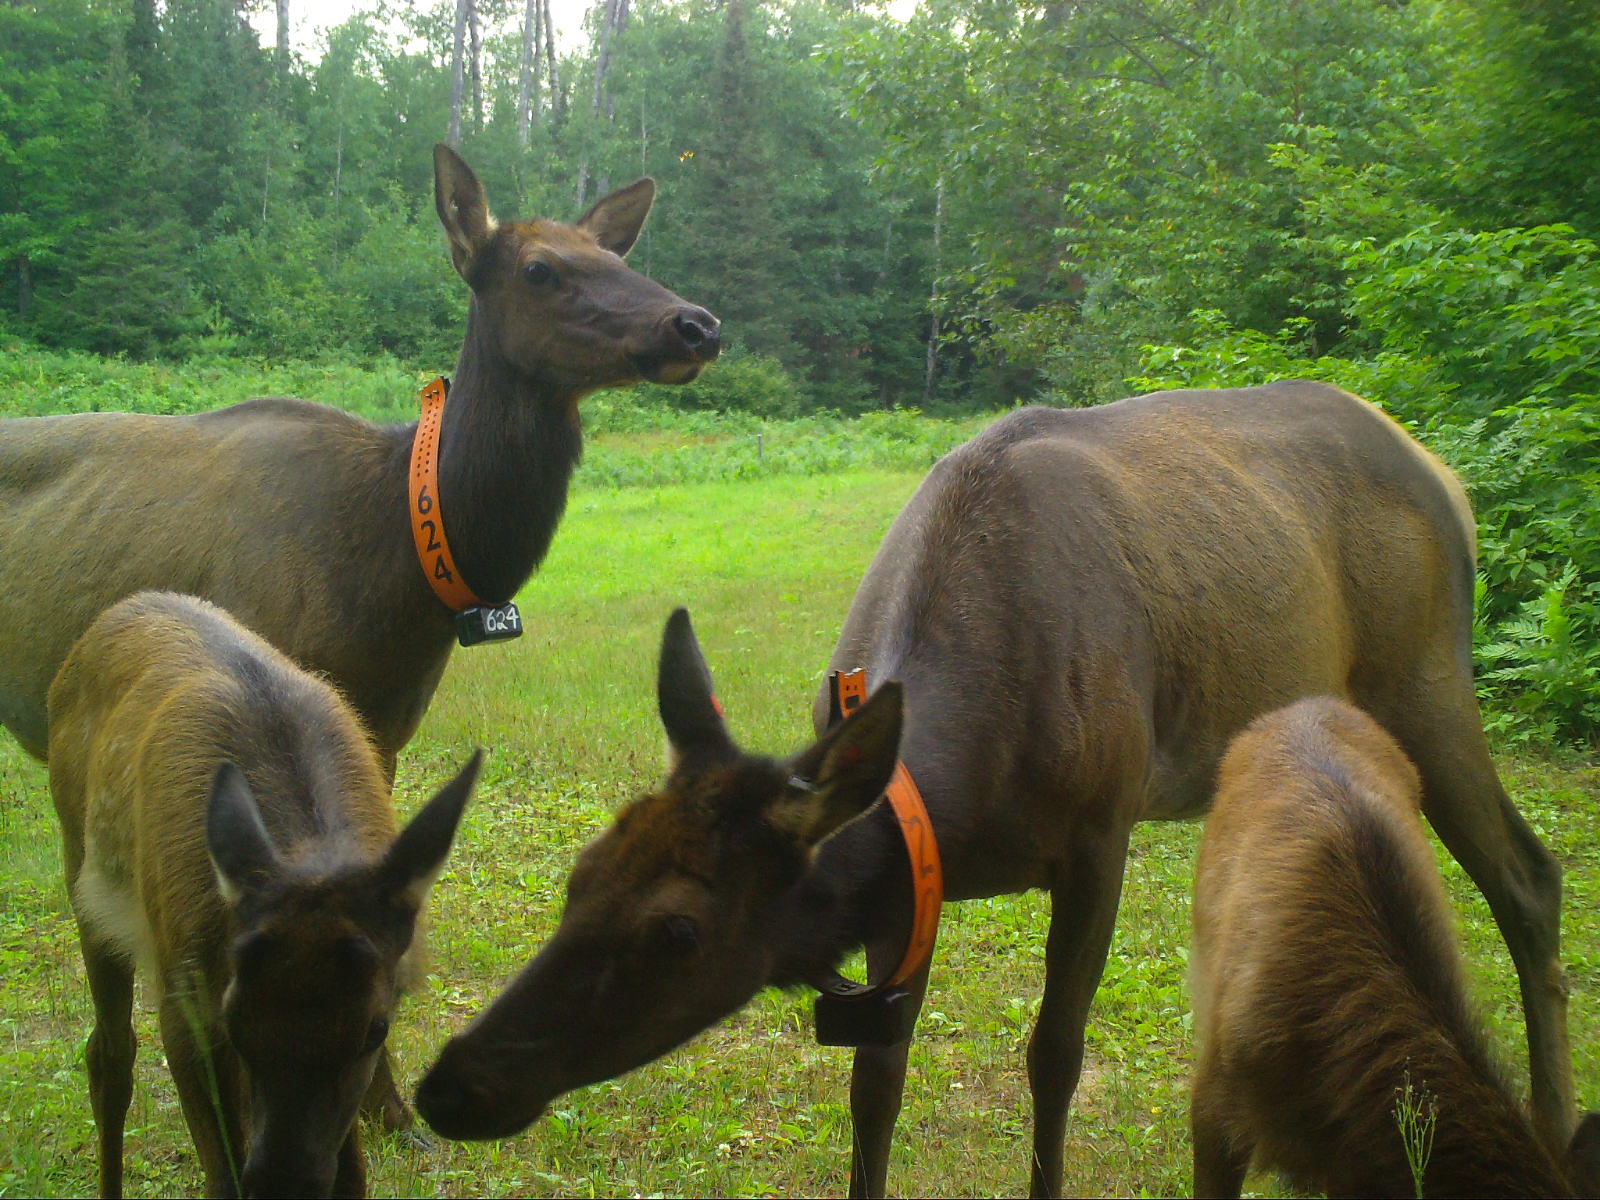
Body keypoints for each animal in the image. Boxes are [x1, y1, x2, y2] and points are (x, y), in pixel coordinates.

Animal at [0, 140, 716, 1126]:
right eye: (541, 269)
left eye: (614, 253)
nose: (697, 324)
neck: (406, 566)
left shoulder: (383, 727)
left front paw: (387, 1110)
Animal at [46, 595, 476, 1200]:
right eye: (234, 1019)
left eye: (378, 1028)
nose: (285, 1182)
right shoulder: (186, 997)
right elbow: (224, 1176)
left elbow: (351, 1174)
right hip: (84, 873)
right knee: (109, 1053)